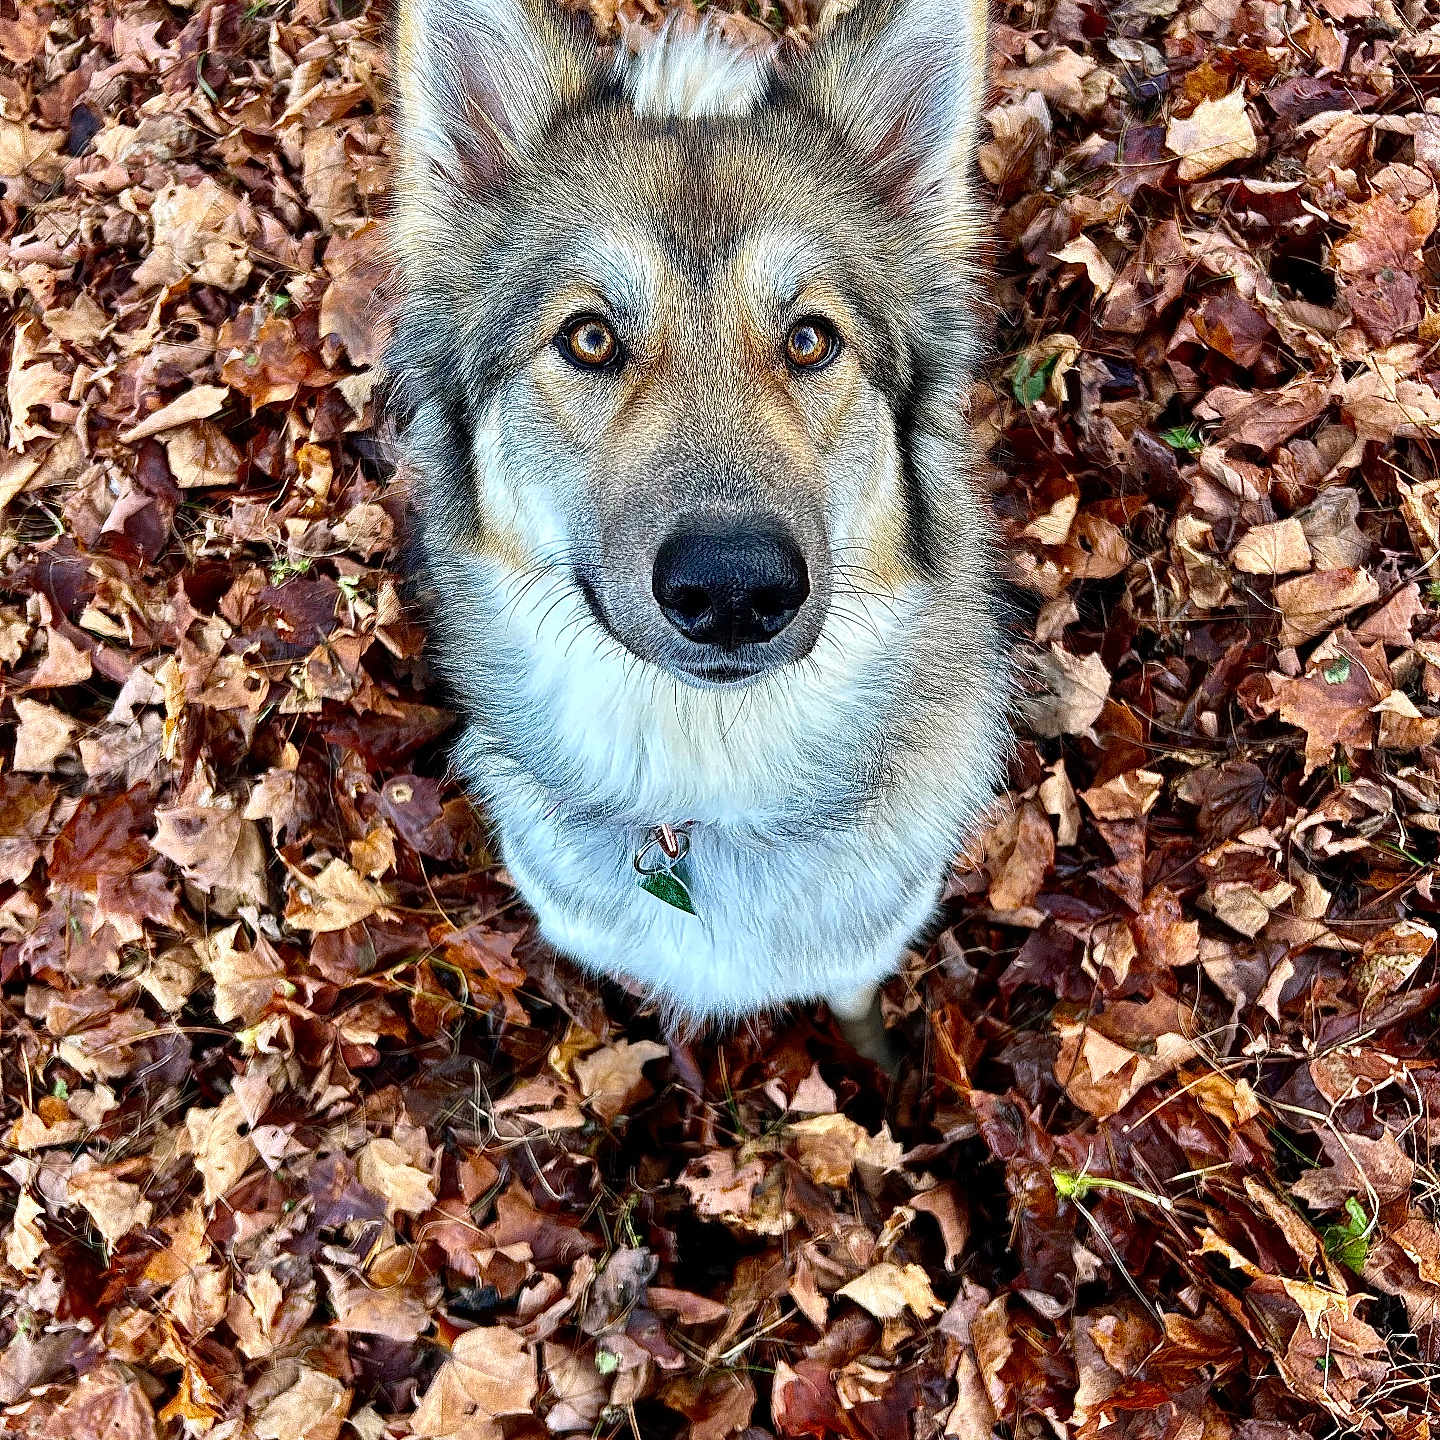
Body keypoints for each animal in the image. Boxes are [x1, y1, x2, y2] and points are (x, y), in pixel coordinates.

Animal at [387, 0, 1013, 1064]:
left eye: (810, 340)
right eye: (589, 338)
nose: (734, 589)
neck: (702, 792)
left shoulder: (861, 951)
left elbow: (858, 1015)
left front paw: (883, 1078)